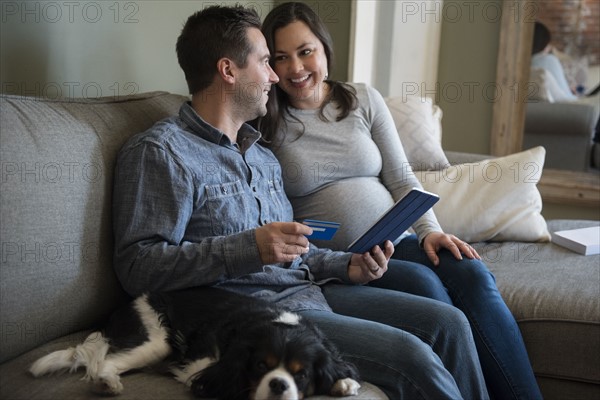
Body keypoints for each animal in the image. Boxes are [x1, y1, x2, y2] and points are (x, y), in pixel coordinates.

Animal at [30, 286, 358, 398]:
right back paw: (107, 384)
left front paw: (342, 382)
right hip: (156, 340)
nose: (278, 385)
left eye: (301, 374)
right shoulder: (201, 364)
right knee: (107, 361)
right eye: (259, 366)